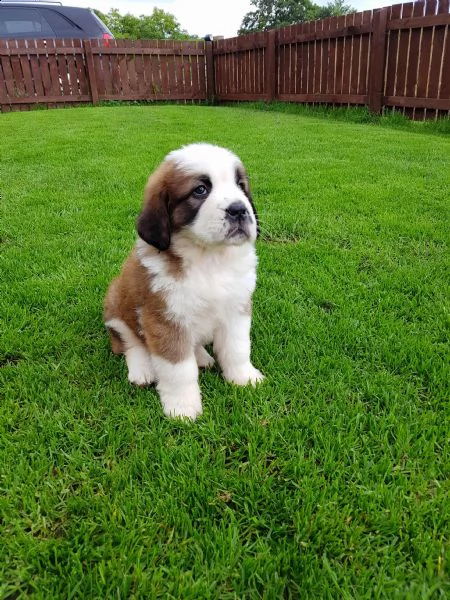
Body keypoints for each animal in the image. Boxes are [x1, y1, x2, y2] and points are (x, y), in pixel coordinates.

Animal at [103, 143, 264, 420]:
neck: (209, 259)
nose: (239, 209)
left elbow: (237, 348)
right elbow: (178, 369)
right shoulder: (166, 319)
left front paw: (244, 377)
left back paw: (200, 355)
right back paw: (142, 370)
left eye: (240, 185)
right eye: (200, 190)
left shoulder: (237, 308)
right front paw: (183, 407)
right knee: (130, 343)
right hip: (116, 303)